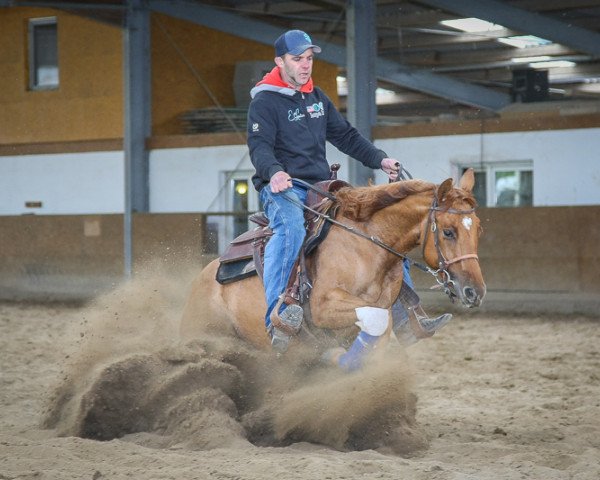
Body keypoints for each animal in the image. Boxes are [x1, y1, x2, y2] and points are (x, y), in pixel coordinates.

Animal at [180, 169, 486, 348]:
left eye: (478, 229)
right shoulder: (324, 305)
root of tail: (201, 279)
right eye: (448, 231)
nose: (475, 292)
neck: (365, 245)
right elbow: (378, 319)